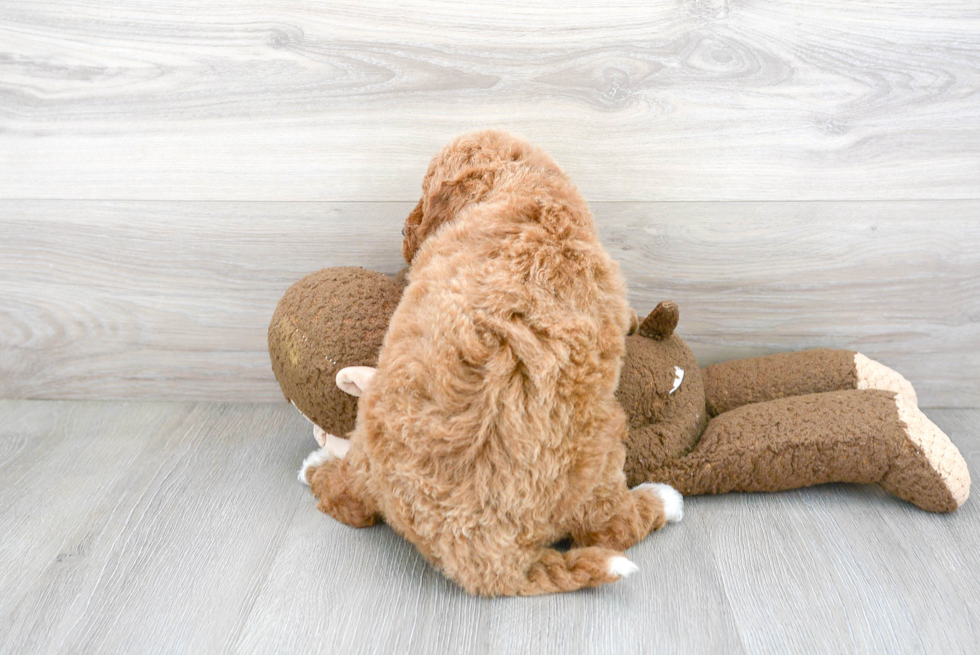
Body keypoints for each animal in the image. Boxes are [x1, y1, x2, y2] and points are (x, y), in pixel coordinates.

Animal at [300, 131, 680, 596]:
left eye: (424, 193)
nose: (403, 228)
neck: (529, 190)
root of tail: (488, 559)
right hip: (601, 451)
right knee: (612, 529)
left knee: (348, 501)